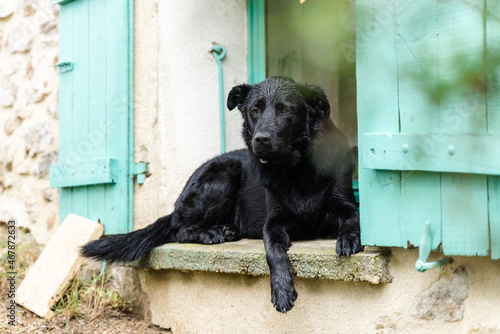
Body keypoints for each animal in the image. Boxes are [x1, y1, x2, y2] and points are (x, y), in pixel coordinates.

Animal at [82, 75, 364, 314]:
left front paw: (348, 239)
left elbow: (352, 221)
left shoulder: (347, 207)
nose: (261, 139)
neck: (295, 169)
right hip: (224, 174)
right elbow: (272, 251)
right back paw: (212, 233)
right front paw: (282, 290)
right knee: (179, 230)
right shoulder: (273, 223)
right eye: (254, 111)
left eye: (286, 110)